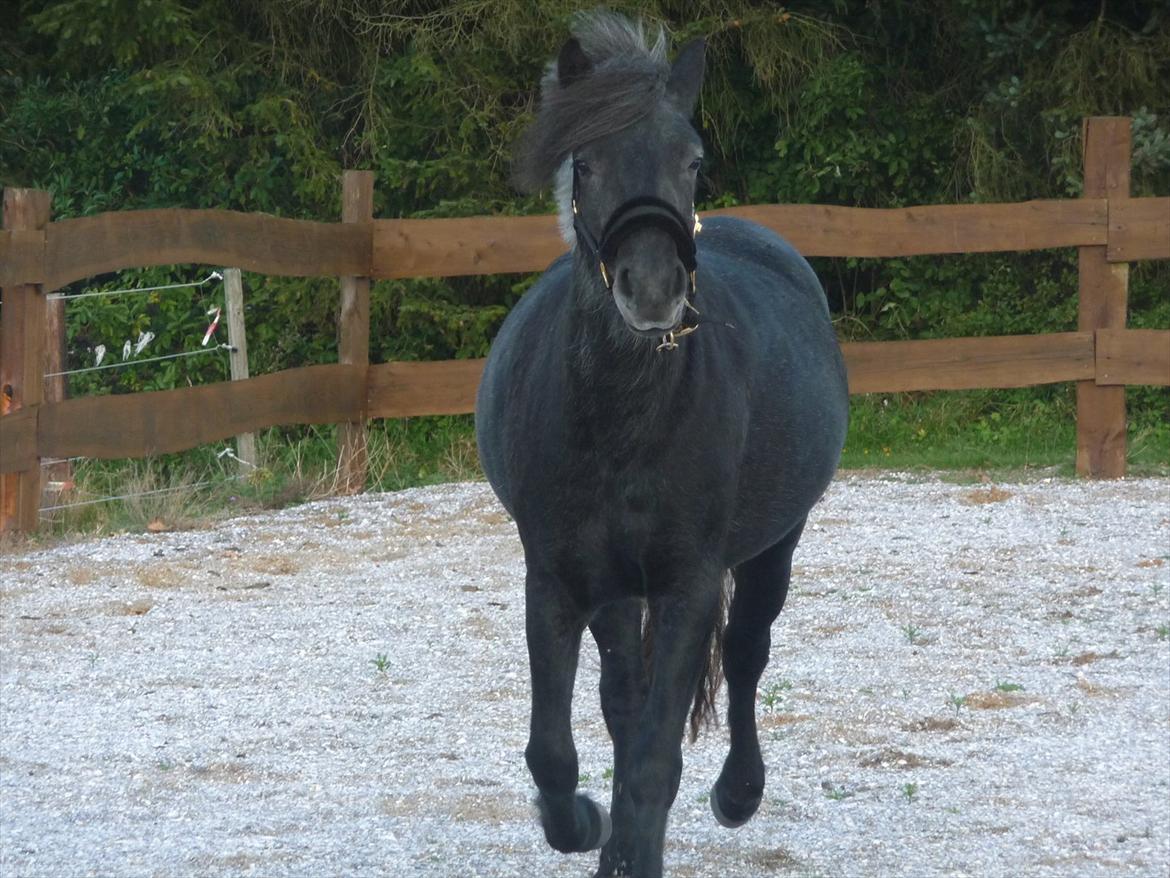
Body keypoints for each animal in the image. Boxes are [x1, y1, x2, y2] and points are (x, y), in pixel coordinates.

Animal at [475, 12, 849, 878]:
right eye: (585, 162)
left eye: (693, 159)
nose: (652, 291)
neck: (621, 421)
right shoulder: (557, 579)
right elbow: (556, 750)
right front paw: (585, 823)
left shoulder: (688, 584)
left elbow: (653, 759)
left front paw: (632, 844)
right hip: (618, 590)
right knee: (625, 700)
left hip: (774, 545)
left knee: (745, 654)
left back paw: (738, 793)